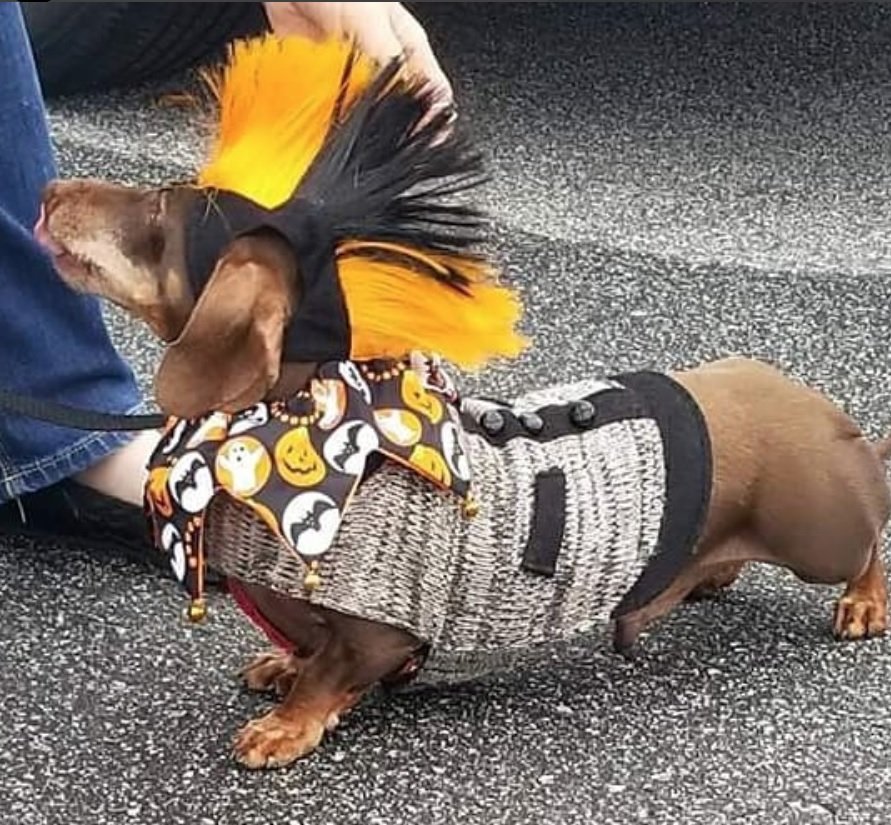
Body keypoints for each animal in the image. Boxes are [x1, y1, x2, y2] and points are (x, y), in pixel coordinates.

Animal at [31, 32, 888, 768]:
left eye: (159, 212)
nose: (45, 191)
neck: (295, 435)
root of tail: (821, 410)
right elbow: (303, 650)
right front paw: (279, 662)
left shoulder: (379, 628)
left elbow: (331, 669)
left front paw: (286, 724)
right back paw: (712, 573)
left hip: (820, 532)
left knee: (868, 536)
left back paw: (862, 602)